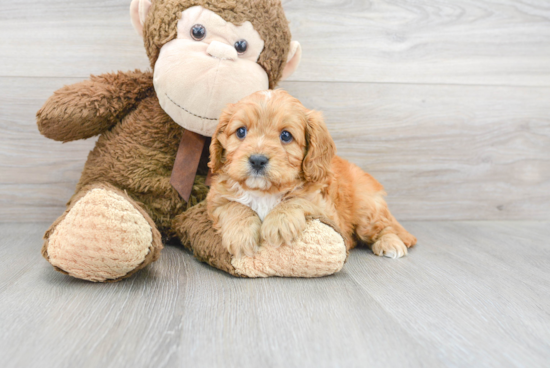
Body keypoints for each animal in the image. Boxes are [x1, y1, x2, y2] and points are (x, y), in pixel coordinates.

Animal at [208, 89, 418, 258]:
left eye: (286, 136)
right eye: (241, 132)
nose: (257, 160)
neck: (264, 193)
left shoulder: (326, 210)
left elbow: (296, 199)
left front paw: (280, 221)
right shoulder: (214, 202)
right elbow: (235, 206)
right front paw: (241, 235)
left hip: (366, 208)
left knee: (384, 227)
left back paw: (391, 243)